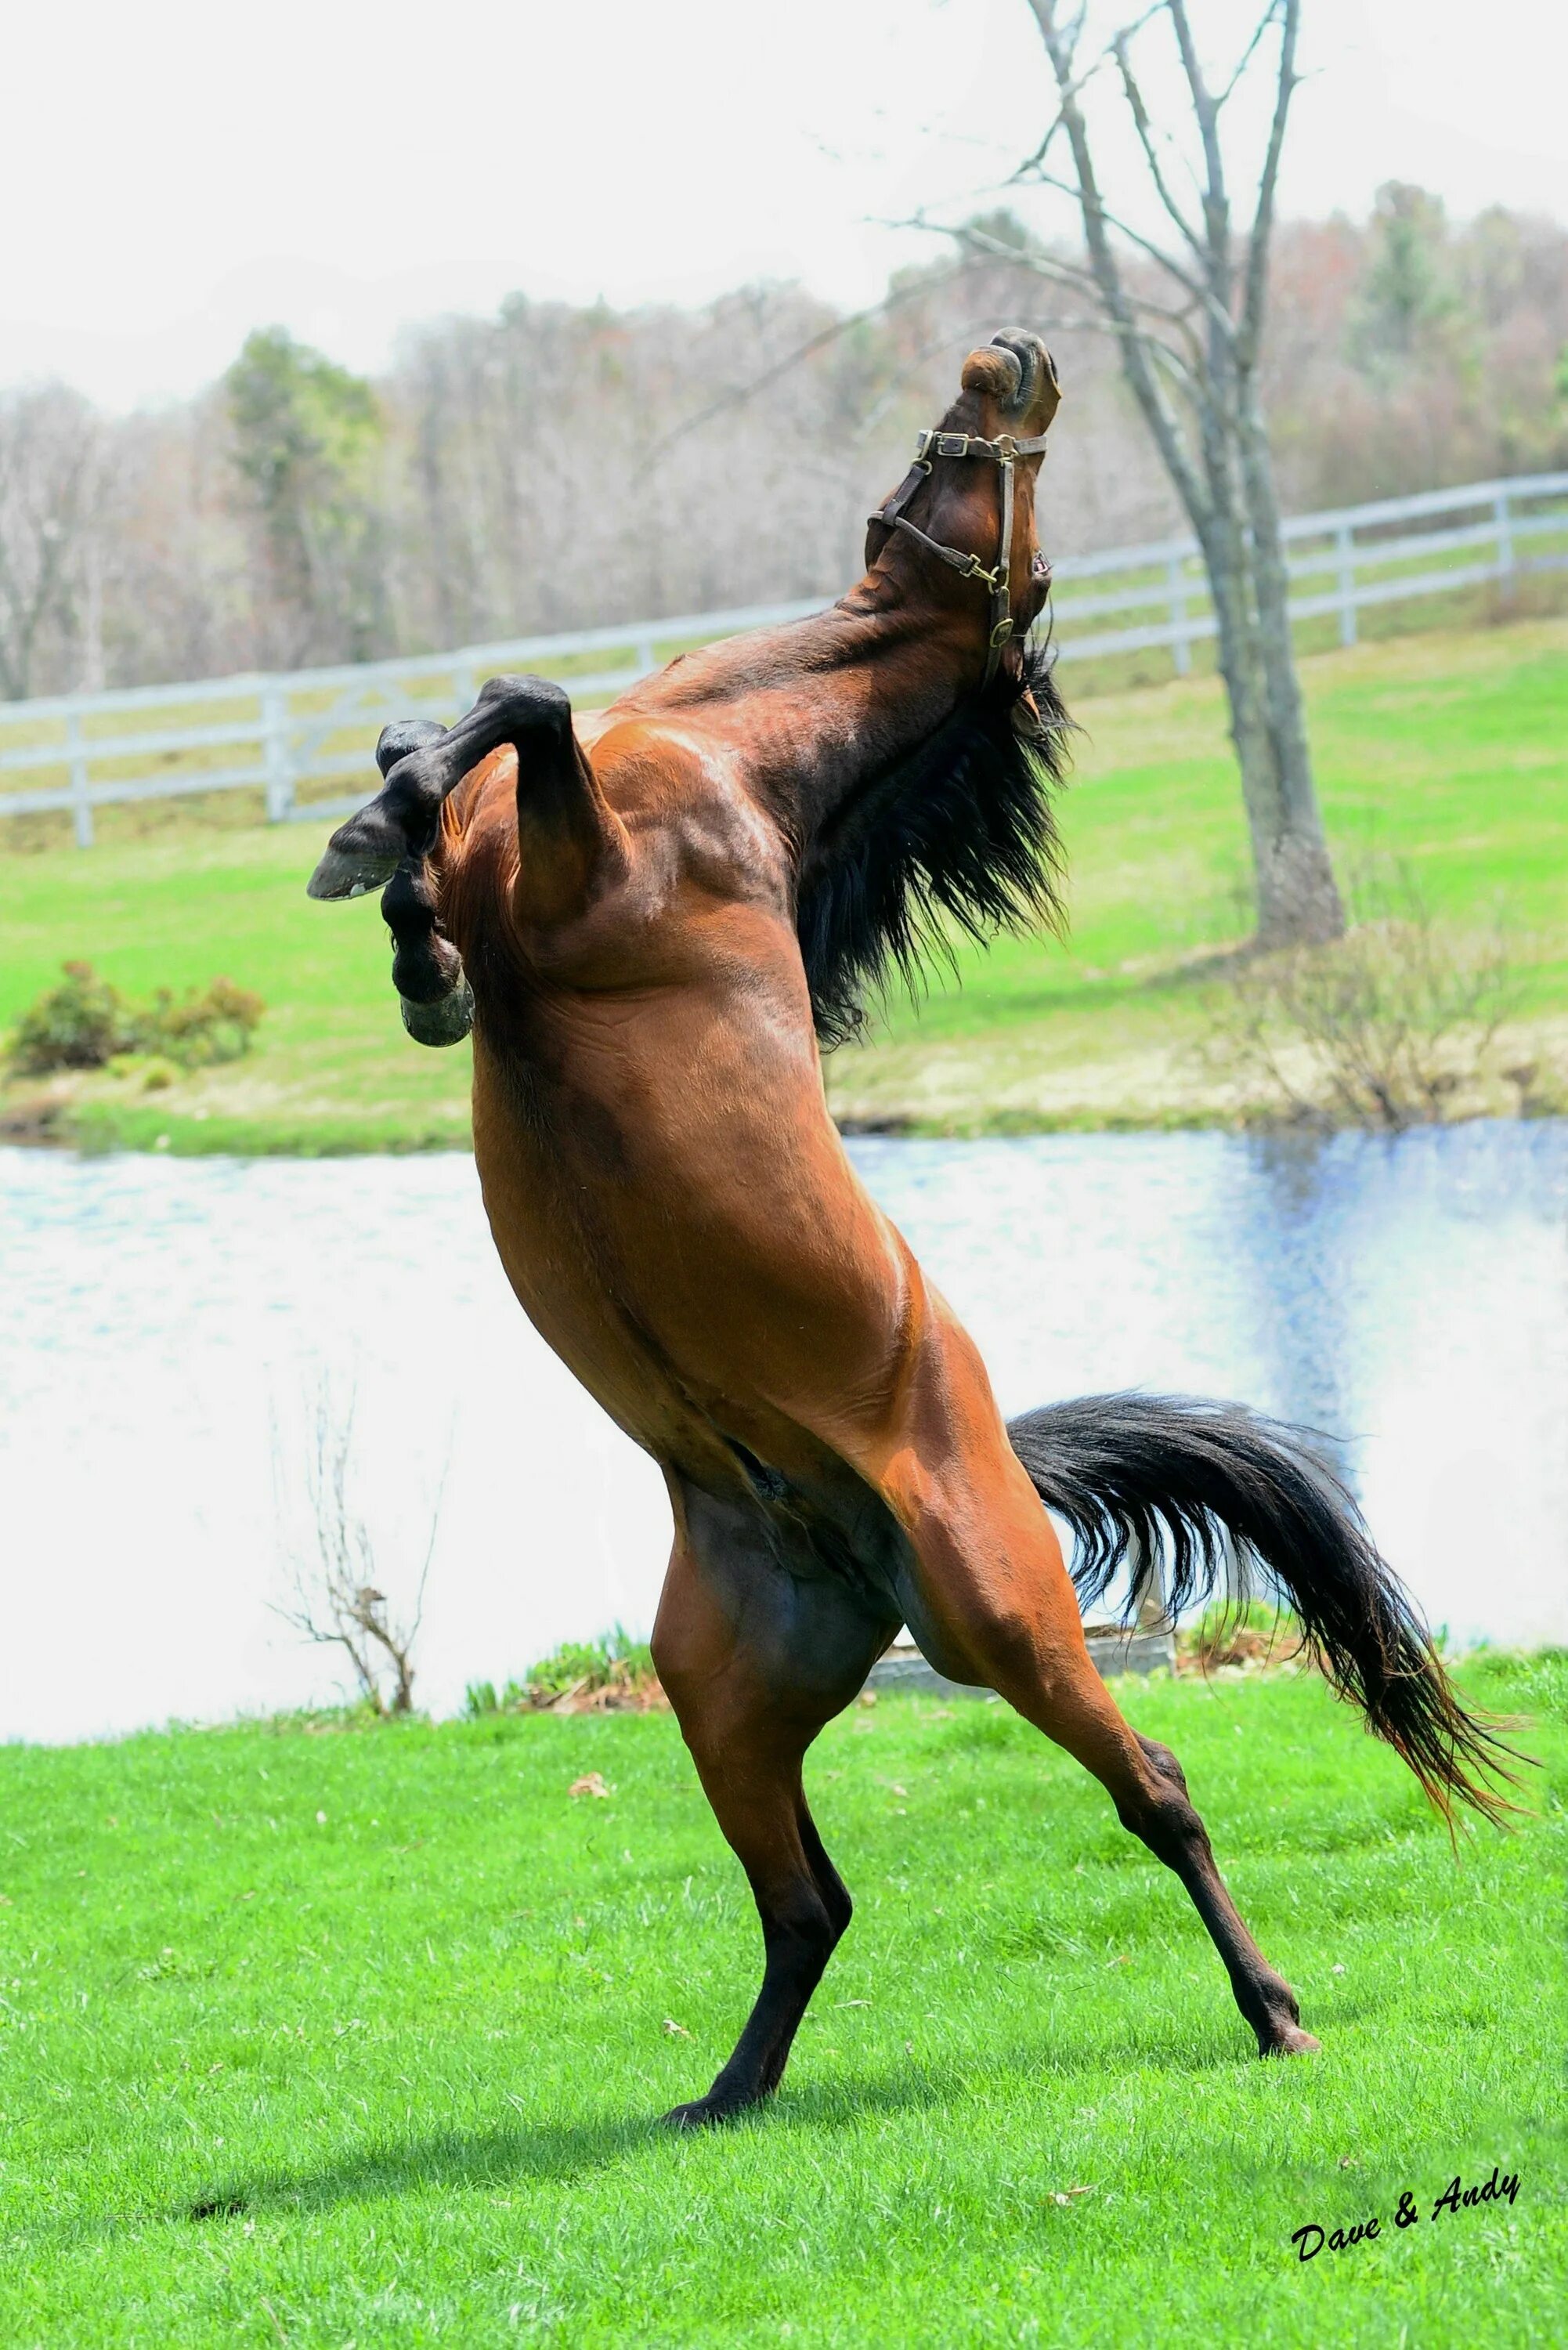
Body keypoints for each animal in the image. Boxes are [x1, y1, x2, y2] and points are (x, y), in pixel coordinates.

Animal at [303, 336, 1504, 2134]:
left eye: (1020, 511)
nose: (1012, 358)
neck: (737, 774)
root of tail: (866, 1522)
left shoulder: (584, 874)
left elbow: (526, 708)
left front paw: (378, 847)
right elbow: (446, 767)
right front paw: (394, 883)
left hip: (1003, 1620)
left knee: (1153, 1791)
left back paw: (1275, 2013)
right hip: (722, 1691)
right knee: (811, 1901)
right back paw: (725, 2094)